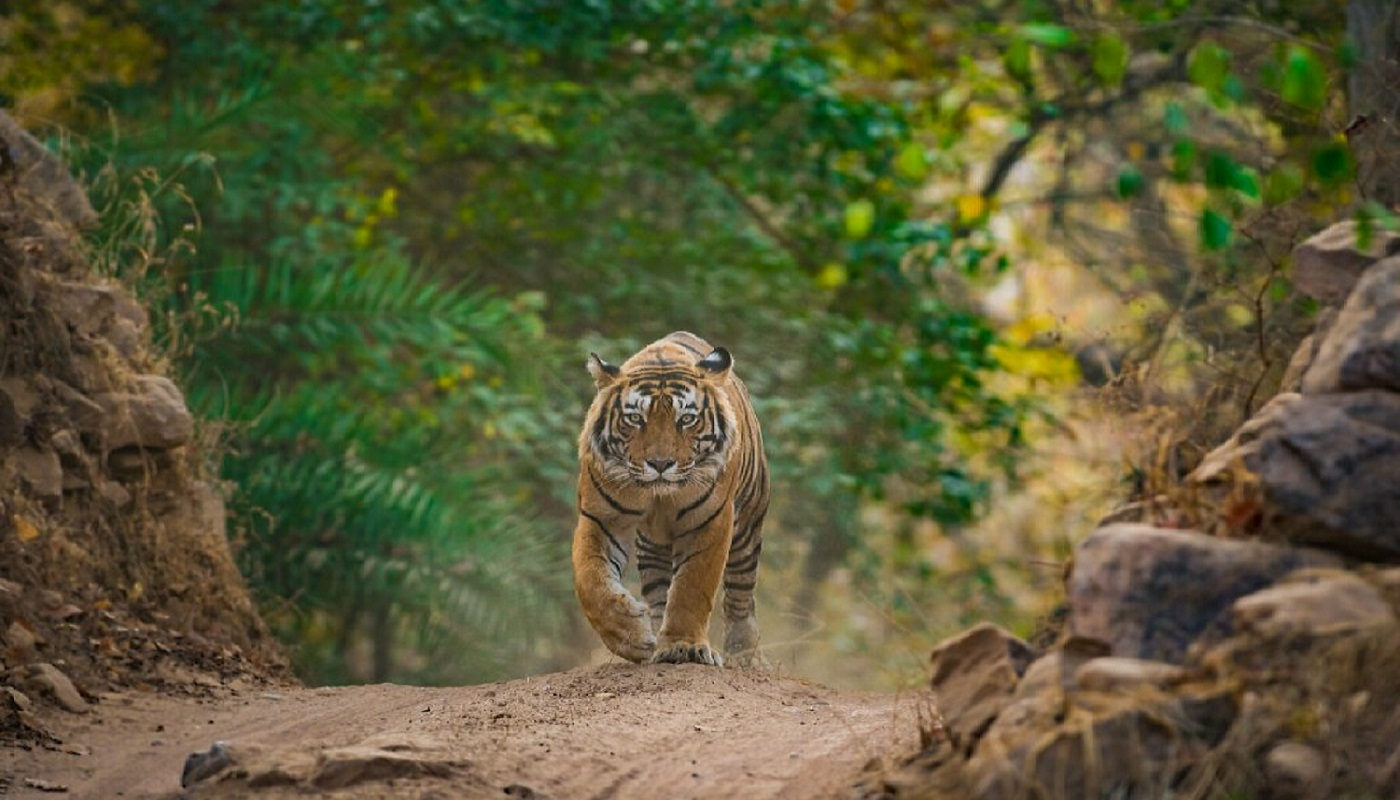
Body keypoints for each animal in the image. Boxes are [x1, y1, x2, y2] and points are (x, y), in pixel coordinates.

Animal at [571, 331, 770, 667]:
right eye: (635, 418)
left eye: (687, 419)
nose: (661, 464)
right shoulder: (600, 518)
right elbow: (592, 581)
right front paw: (632, 636)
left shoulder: (710, 521)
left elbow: (692, 587)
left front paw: (683, 647)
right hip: (651, 545)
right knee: (658, 591)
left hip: (747, 528)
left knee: (740, 595)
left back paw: (746, 656)